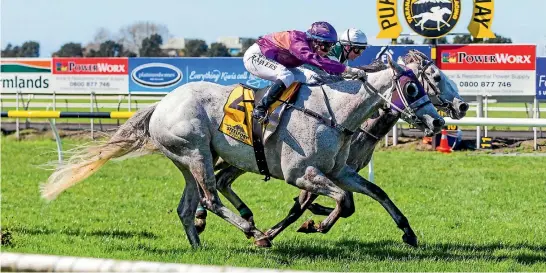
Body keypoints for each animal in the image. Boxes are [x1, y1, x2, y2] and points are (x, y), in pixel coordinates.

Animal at [41, 56, 442, 248]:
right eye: (412, 86)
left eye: (426, 84)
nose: (437, 121)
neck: (334, 113)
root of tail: (160, 105)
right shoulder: (301, 173)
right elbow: (343, 201)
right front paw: (316, 224)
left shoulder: (339, 171)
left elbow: (372, 194)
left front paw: (408, 233)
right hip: (197, 153)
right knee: (211, 197)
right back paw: (254, 232)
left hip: (190, 160)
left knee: (189, 205)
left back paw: (199, 246)